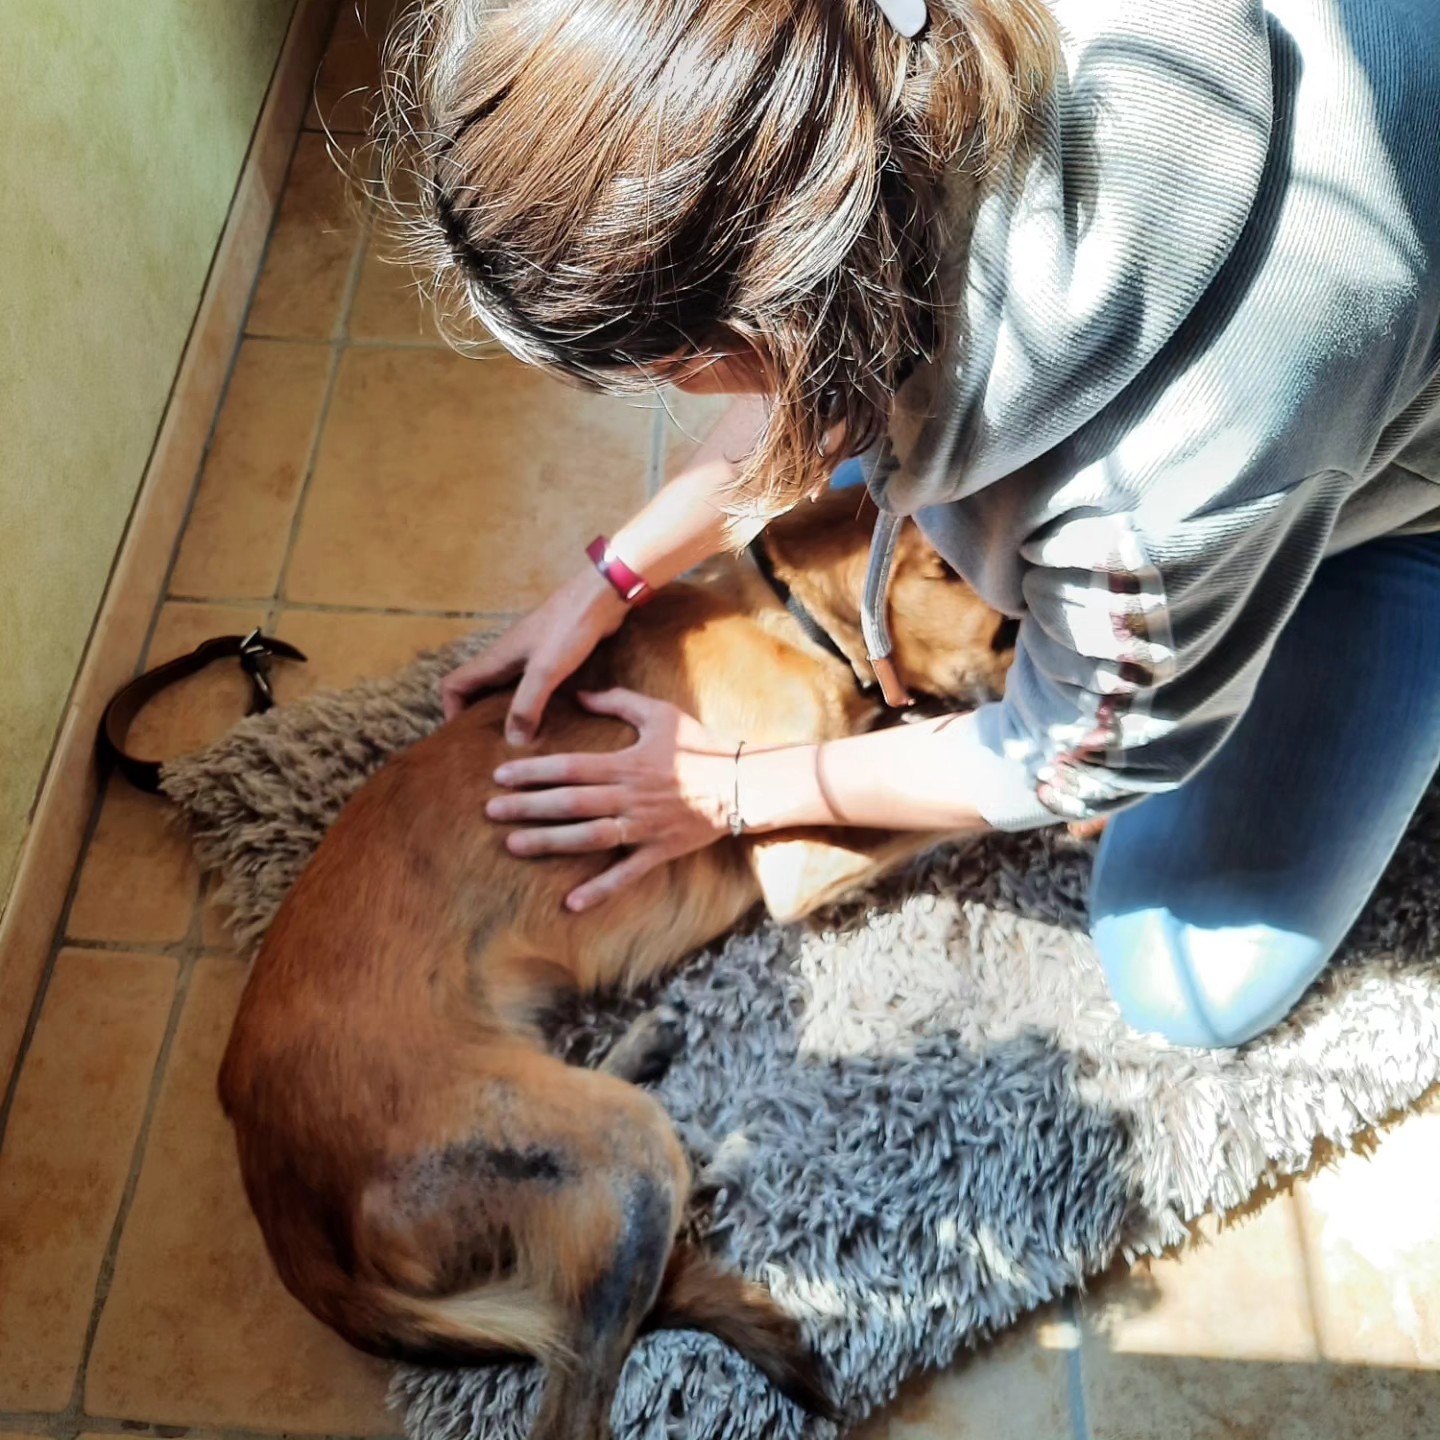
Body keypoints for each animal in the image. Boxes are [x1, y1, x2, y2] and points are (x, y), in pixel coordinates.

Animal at [218, 489, 1019, 1434]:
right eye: (1011, 633)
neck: (795, 620)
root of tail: (279, 1188)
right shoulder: (794, 851)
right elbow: (936, 808)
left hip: (572, 1120)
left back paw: (655, 1069)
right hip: (611, 1156)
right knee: (580, 1388)